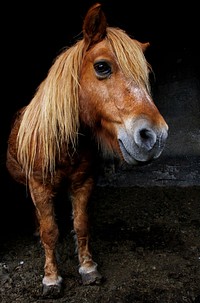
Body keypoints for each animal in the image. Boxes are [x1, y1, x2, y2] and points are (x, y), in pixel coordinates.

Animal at [6, 2, 168, 300]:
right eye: (102, 66)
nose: (156, 136)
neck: (63, 145)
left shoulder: (83, 183)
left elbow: (81, 225)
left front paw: (88, 268)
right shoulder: (39, 187)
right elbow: (50, 231)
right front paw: (51, 278)